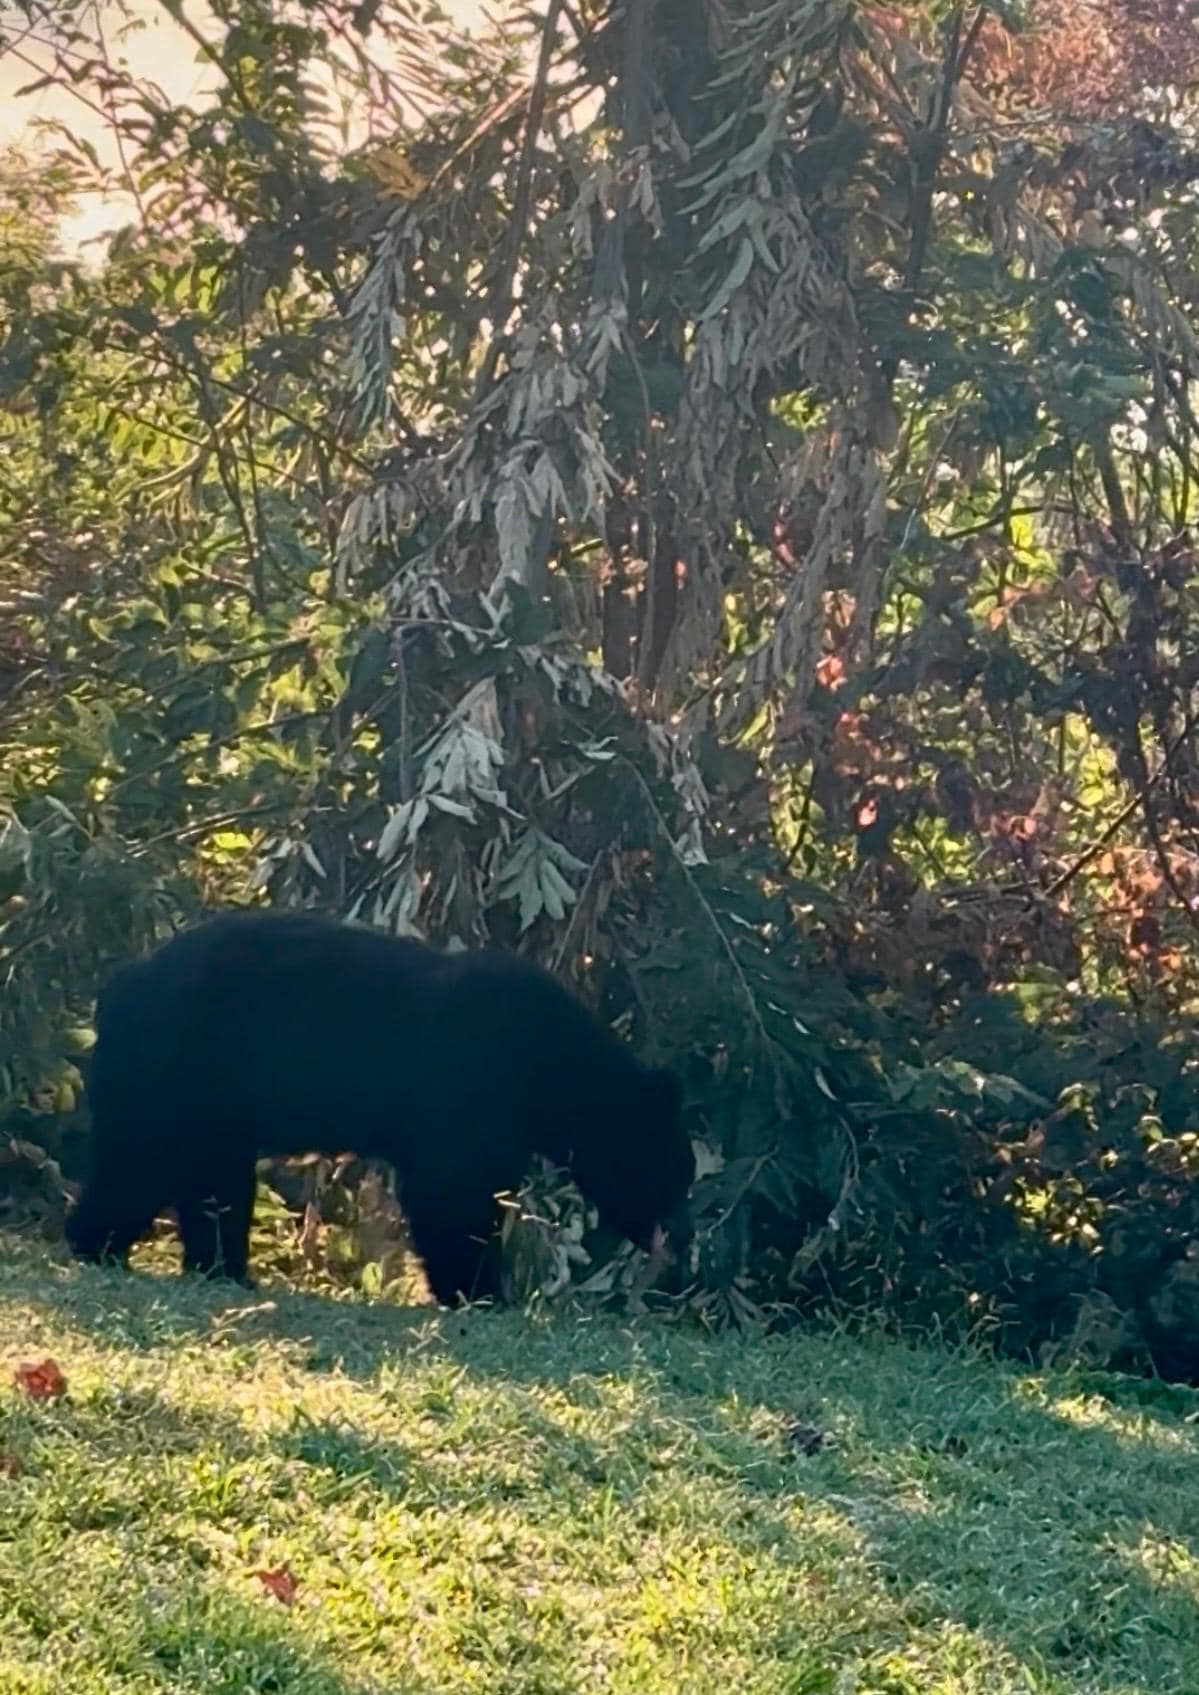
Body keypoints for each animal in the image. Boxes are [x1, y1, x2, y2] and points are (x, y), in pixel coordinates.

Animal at [65, 910, 694, 1304]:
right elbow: (451, 1192)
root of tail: (115, 990)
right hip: (172, 1076)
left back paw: (214, 1268)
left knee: (206, 1185)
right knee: (139, 1166)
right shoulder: (470, 1088)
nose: (678, 1245)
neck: (555, 1072)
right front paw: (482, 1291)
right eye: (674, 1174)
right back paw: (101, 1246)